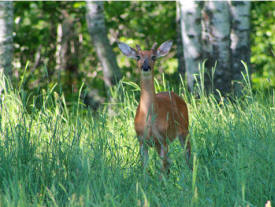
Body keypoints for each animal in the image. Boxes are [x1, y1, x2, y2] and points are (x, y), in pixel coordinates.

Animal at [118, 40, 192, 173]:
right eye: (138, 56)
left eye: (153, 57)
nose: (145, 67)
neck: (149, 118)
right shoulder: (142, 140)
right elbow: (145, 168)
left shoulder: (163, 139)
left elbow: (163, 168)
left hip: (184, 129)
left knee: (187, 155)